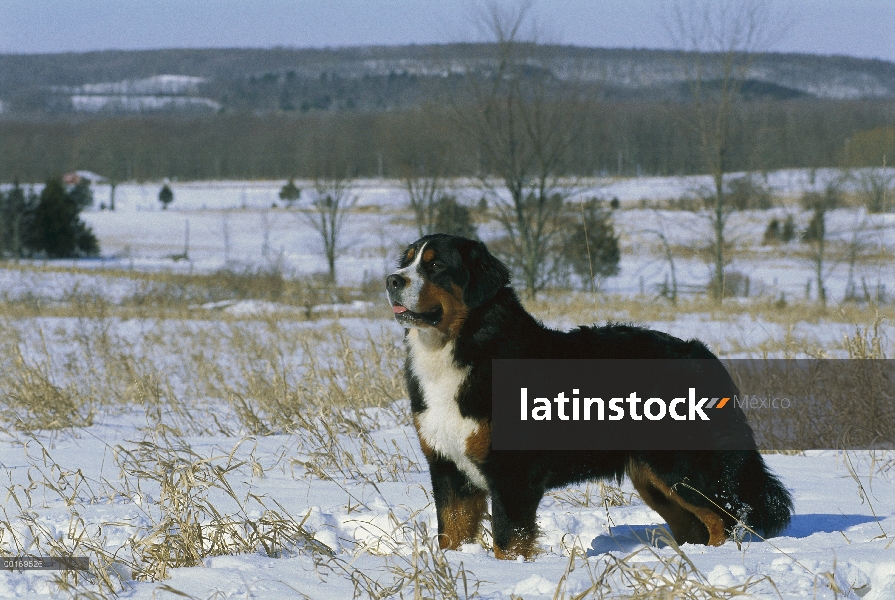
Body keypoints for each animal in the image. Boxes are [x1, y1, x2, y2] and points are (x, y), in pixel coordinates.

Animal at [384, 233, 792, 556]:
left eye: (435, 266)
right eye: (407, 261)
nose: (391, 280)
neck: (462, 348)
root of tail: (701, 352)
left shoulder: (511, 473)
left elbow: (507, 540)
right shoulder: (449, 468)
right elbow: (450, 535)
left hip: (681, 466)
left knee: (724, 517)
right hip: (654, 480)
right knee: (697, 524)